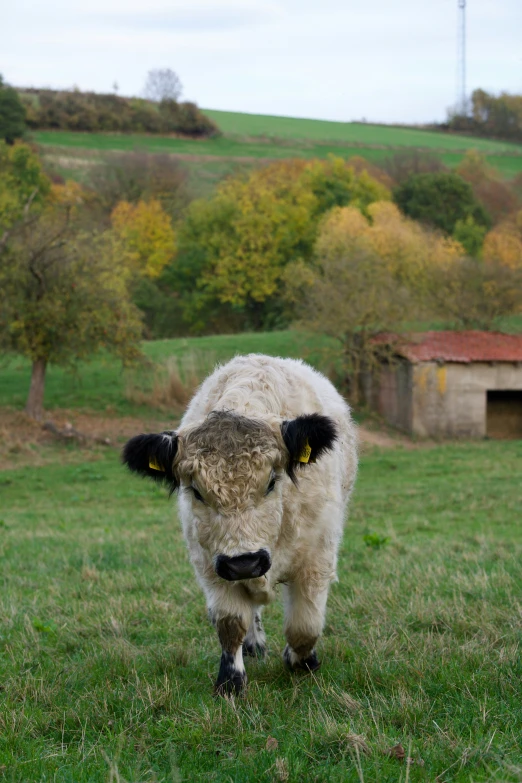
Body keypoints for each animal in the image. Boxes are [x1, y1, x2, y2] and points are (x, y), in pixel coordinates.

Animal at [124, 354, 356, 692]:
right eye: (197, 491)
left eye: (272, 481)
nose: (244, 562)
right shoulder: (212, 566)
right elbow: (230, 623)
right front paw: (230, 682)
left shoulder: (317, 558)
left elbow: (304, 625)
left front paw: (302, 662)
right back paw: (253, 644)